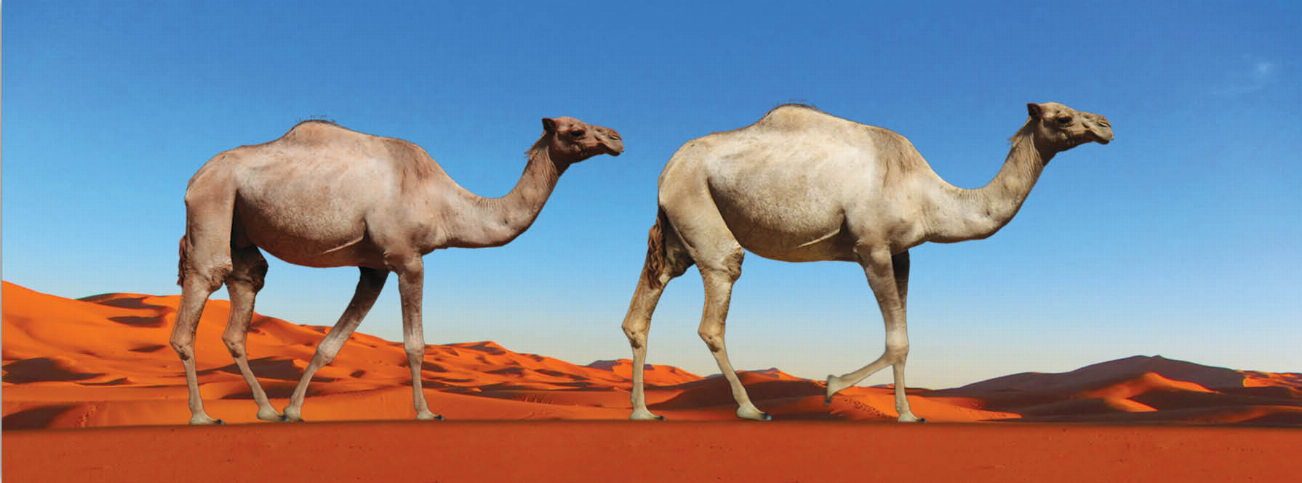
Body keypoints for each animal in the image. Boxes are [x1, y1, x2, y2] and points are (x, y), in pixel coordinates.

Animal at [172, 116, 623, 424]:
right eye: (575, 130)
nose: (616, 138)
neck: (447, 205)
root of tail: (194, 177)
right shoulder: (408, 258)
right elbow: (415, 344)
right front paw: (425, 411)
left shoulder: (374, 267)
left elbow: (329, 345)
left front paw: (294, 410)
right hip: (214, 199)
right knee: (204, 282)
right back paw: (201, 415)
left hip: (240, 226)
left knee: (246, 288)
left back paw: (266, 409)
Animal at [620, 102, 1111, 421]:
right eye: (1063, 116)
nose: (1106, 125)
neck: (929, 197)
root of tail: (667, 168)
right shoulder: (870, 247)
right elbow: (896, 342)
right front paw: (833, 387)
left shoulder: (901, 253)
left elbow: (905, 339)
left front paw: (907, 413)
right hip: (698, 203)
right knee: (716, 299)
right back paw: (750, 408)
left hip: (677, 234)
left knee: (644, 305)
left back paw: (643, 412)